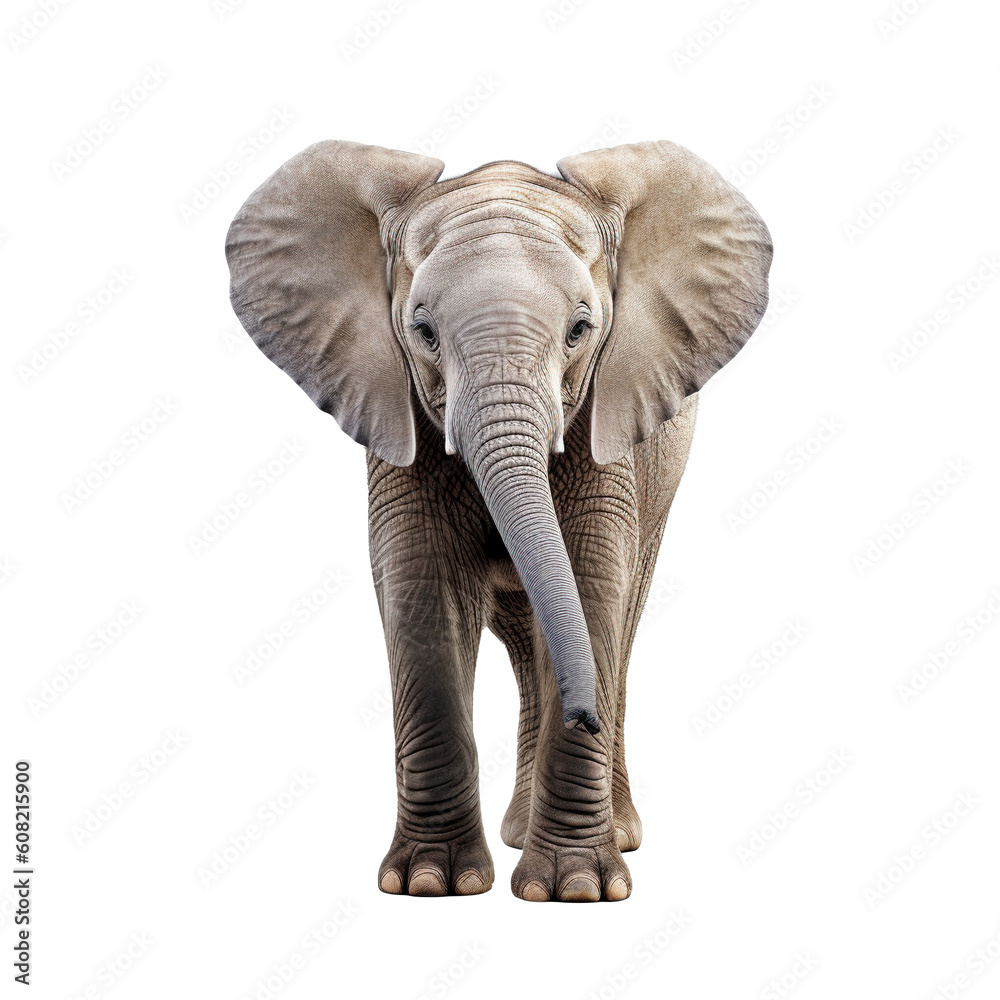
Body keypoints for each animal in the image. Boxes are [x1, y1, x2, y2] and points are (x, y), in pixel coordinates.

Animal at [225, 139, 771, 902]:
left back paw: (616, 831)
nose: (584, 713)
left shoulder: (606, 417)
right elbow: (422, 594)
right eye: (422, 331)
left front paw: (577, 890)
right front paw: (431, 882)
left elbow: (591, 588)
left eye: (581, 330)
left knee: (620, 618)